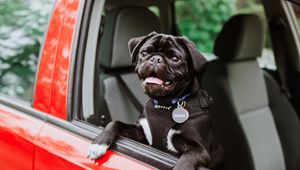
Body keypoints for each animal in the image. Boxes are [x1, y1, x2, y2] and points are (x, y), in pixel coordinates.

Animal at [87, 32, 223, 170]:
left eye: (175, 58)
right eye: (144, 53)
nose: (156, 59)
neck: (165, 104)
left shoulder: (200, 149)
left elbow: (189, 156)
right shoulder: (141, 133)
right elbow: (115, 123)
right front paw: (99, 143)